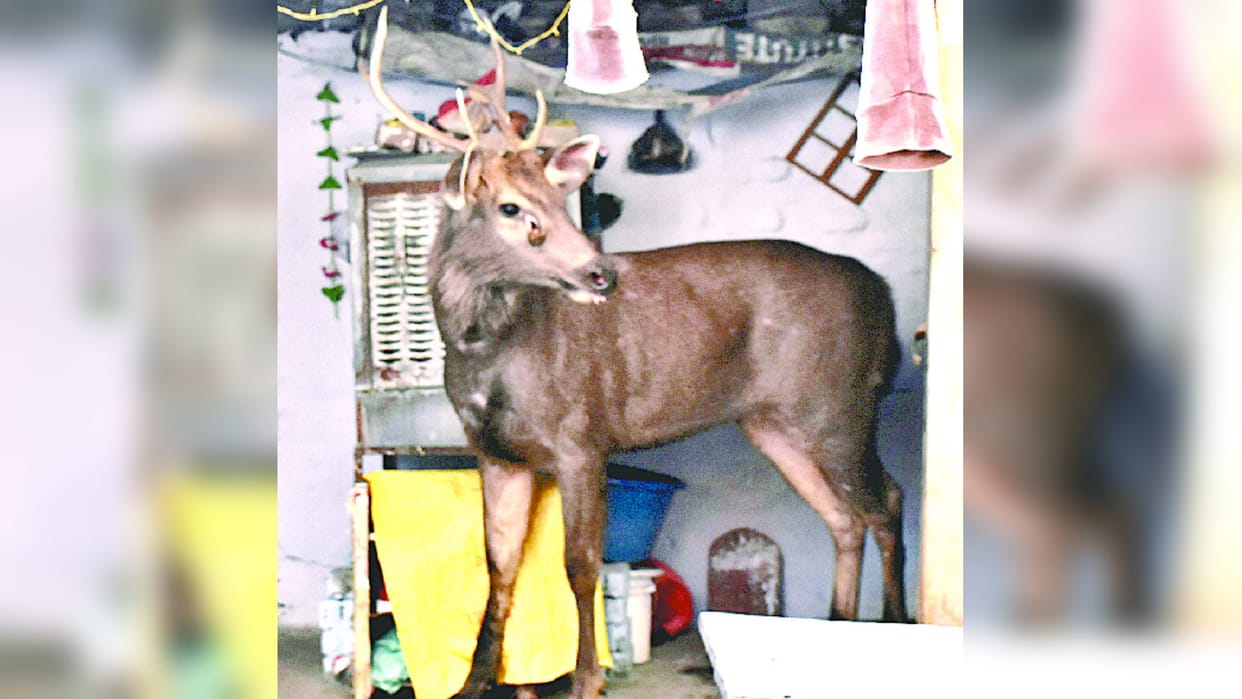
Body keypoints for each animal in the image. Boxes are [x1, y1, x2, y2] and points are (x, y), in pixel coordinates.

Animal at [362, 7, 910, 698]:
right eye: (512, 207)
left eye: (558, 200)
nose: (601, 273)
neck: (488, 354)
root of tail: (884, 294)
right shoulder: (495, 451)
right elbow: (499, 568)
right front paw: (474, 684)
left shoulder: (581, 435)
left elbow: (580, 566)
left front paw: (587, 679)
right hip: (774, 422)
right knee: (843, 516)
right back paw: (838, 630)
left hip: (839, 405)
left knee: (886, 502)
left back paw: (896, 626)